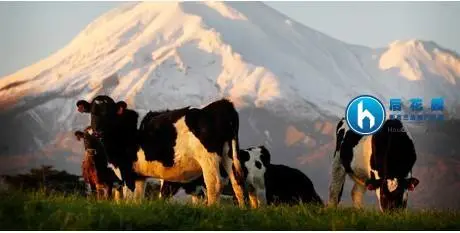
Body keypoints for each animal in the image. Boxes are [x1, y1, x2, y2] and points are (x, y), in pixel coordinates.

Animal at [75, 96, 250, 208]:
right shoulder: (139, 175)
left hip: (208, 157)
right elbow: (137, 199)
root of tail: (223, 104)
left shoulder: (126, 170)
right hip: (229, 154)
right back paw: (242, 211)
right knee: (237, 182)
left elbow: (129, 196)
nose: (98, 131)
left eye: (109, 112)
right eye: (93, 112)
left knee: (214, 184)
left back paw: (211, 210)